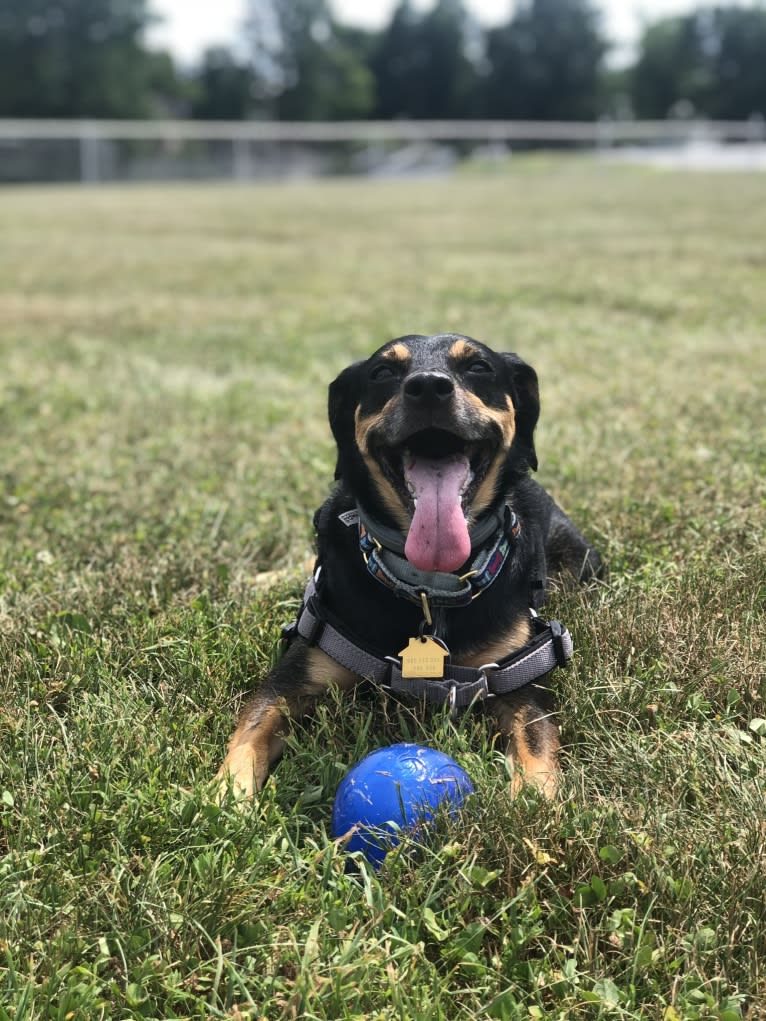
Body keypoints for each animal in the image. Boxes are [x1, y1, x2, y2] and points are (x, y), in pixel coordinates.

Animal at [218, 332, 604, 796]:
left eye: (478, 367)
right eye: (382, 371)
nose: (428, 387)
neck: (429, 585)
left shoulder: (518, 678)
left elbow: (538, 755)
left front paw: (533, 806)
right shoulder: (297, 672)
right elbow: (249, 735)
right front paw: (224, 799)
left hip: (582, 563)